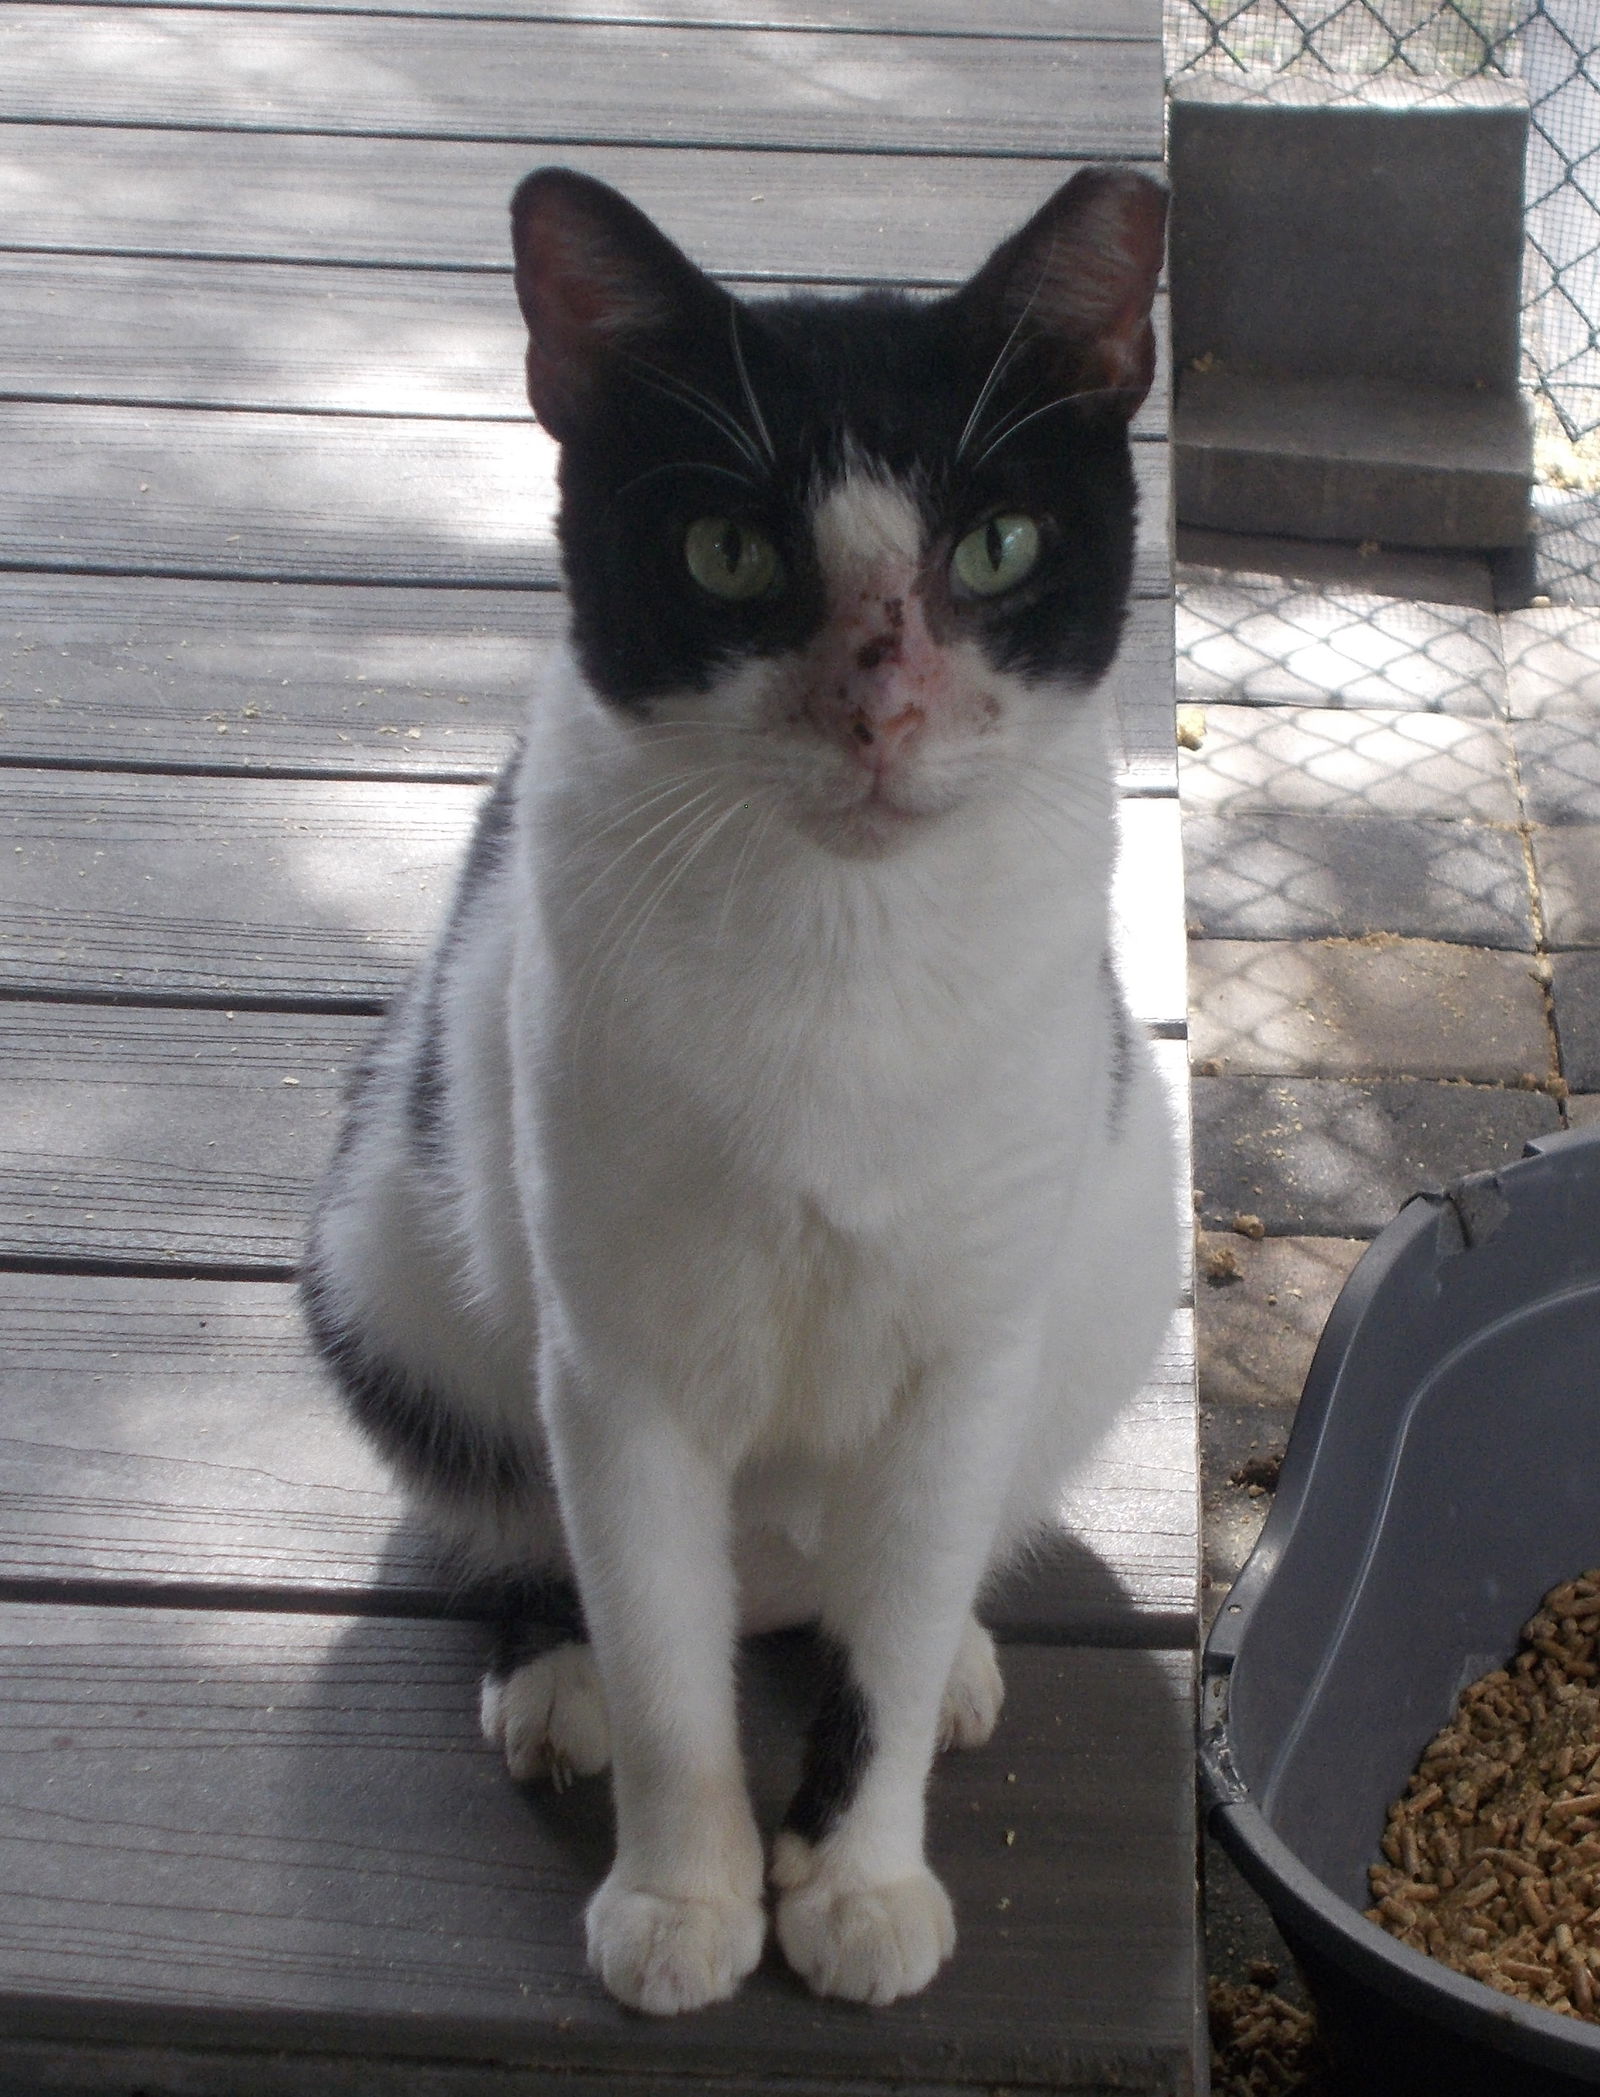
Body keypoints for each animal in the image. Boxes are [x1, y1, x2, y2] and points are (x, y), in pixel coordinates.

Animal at [304, 159, 1174, 2013]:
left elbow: (884, 1651)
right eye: (727, 549)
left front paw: (858, 1877)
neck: (841, 946)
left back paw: (962, 1652)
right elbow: (661, 1659)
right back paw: (549, 1670)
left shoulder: (969, 1349)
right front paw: (682, 1894)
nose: (882, 709)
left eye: (996, 543)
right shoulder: (614, 1360)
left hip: (1111, 1260)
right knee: (517, 1511)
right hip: (379, 1251)